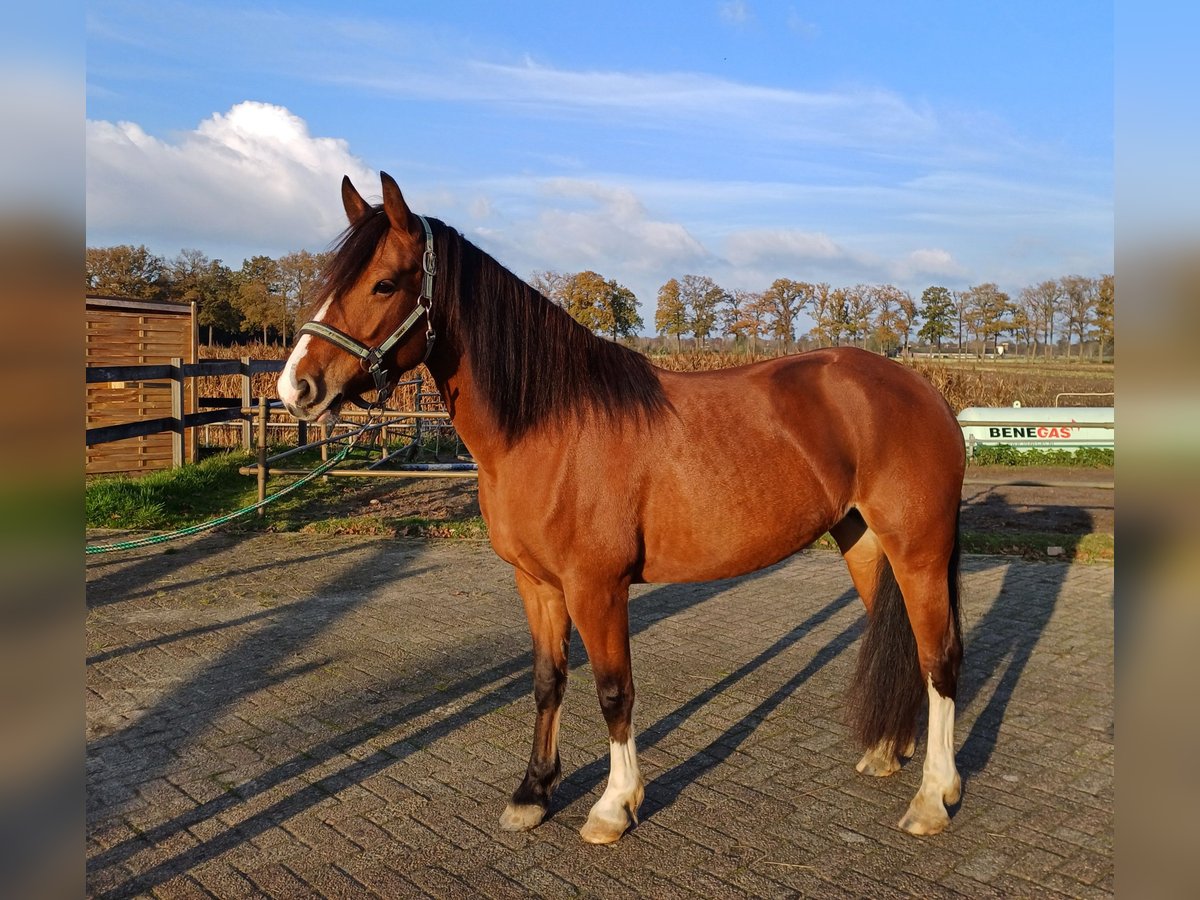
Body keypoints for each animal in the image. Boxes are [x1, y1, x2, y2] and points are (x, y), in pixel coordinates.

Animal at [274, 174, 964, 844]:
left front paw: (614, 805)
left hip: (919, 552)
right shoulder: (537, 584)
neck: (549, 426)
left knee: (939, 658)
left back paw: (933, 798)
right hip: (864, 543)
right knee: (903, 642)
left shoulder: (596, 586)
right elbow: (547, 681)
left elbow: (614, 691)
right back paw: (886, 753)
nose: (294, 387)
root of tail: (923, 390)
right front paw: (532, 795)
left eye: (384, 283)